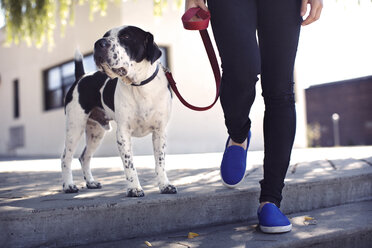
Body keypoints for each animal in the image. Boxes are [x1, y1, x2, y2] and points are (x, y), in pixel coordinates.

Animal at [61, 26, 177, 197]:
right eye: (105, 36)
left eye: (126, 36)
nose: (98, 43)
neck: (139, 86)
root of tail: (81, 76)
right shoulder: (123, 133)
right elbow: (129, 164)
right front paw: (134, 188)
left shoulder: (159, 132)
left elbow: (160, 162)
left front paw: (165, 186)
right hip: (75, 128)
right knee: (66, 158)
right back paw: (68, 185)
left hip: (95, 133)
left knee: (84, 157)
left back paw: (91, 182)